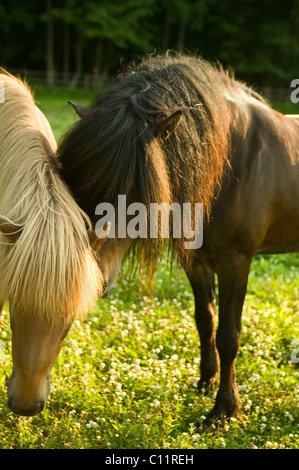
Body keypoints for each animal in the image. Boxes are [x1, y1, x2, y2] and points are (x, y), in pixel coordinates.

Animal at [58, 54, 299, 426]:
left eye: (139, 190)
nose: (89, 277)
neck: (230, 163)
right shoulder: (197, 261)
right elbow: (205, 322)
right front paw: (205, 382)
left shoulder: (236, 261)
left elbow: (228, 335)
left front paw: (223, 410)